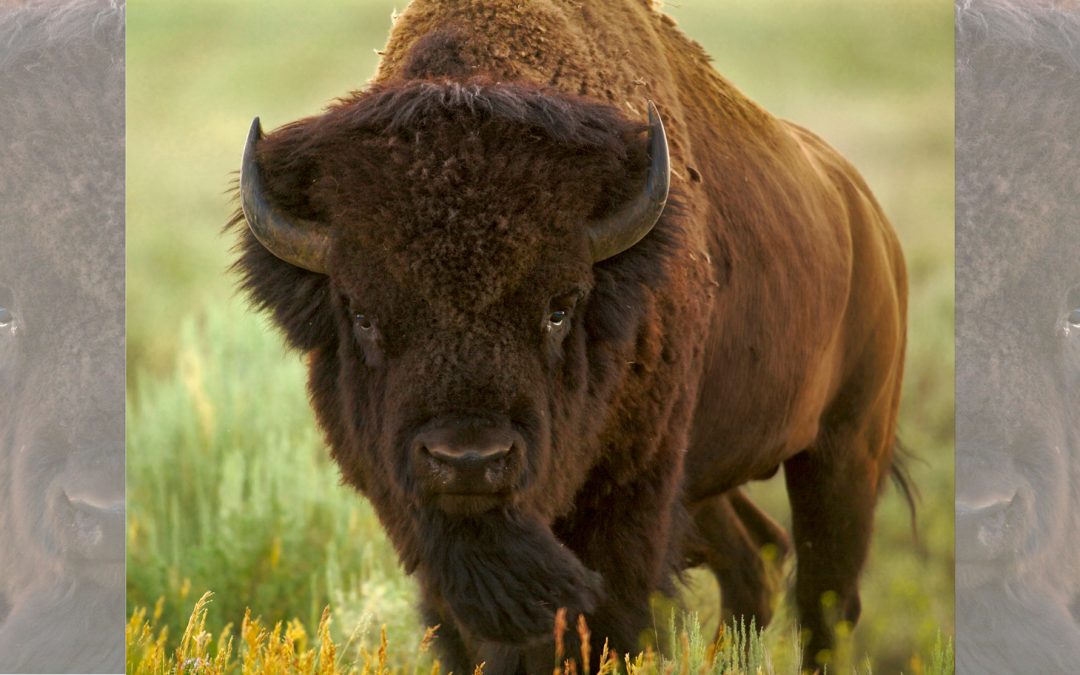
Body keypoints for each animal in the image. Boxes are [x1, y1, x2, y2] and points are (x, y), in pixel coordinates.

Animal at [232, 0, 908, 670]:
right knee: (757, 559)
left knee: (827, 602)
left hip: (845, 446)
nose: (468, 461)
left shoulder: (632, 493)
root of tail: (866, 216)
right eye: (363, 315)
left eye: (559, 308)